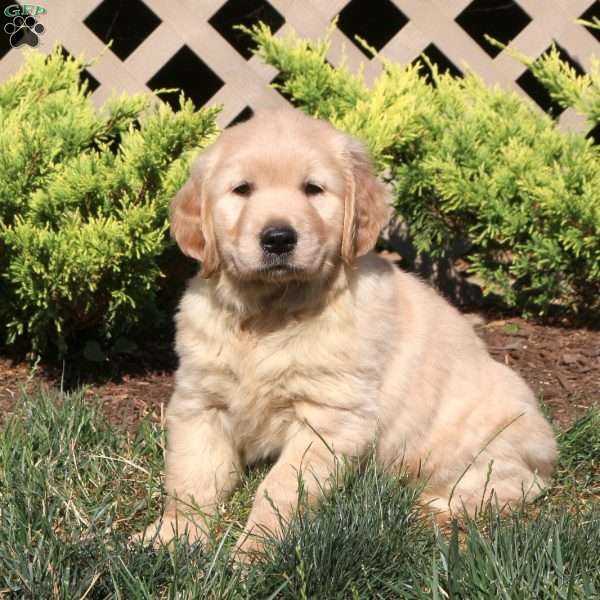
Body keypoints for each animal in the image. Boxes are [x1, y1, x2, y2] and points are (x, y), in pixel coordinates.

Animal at [141, 106, 556, 552]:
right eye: (242, 189)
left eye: (313, 189)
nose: (278, 238)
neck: (270, 313)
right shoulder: (201, 402)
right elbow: (191, 477)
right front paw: (172, 536)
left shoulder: (329, 418)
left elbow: (279, 489)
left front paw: (253, 552)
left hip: (482, 437)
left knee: (509, 485)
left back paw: (431, 509)